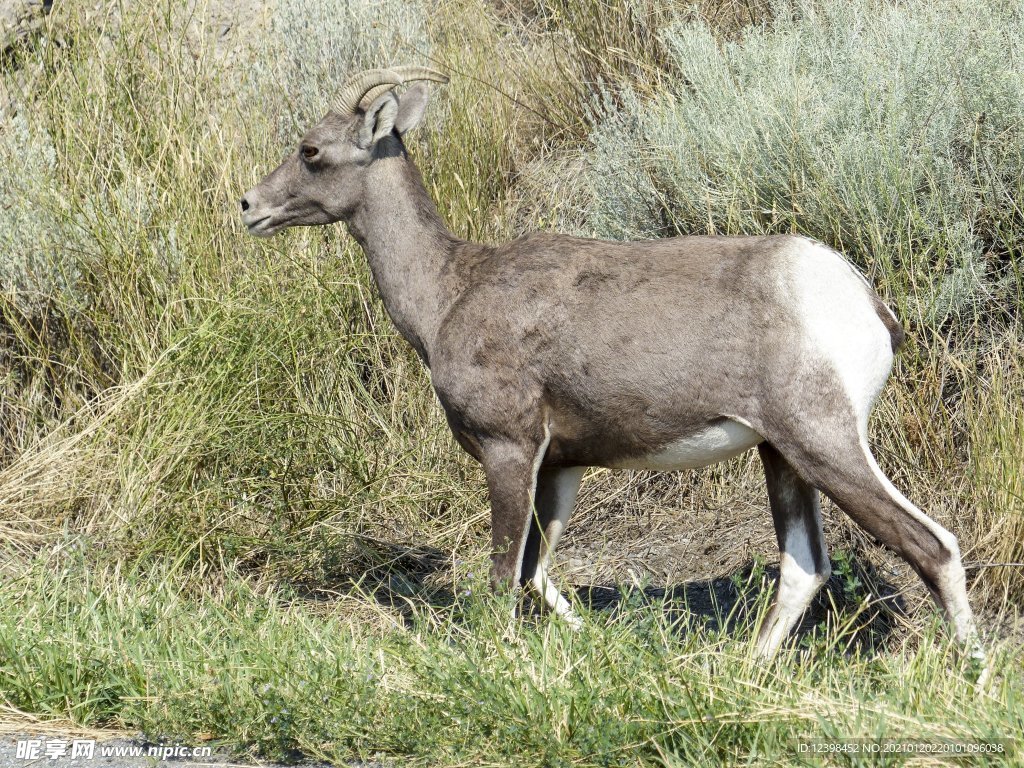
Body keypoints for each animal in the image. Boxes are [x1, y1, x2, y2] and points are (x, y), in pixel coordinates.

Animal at [235, 66, 978, 663]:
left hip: (824, 443)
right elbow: (537, 574)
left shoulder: (510, 451)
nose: (249, 206)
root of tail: (862, 299)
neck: (448, 293)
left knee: (933, 545)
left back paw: (971, 674)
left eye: (311, 151)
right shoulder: (560, 466)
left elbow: (504, 577)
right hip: (782, 455)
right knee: (803, 569)